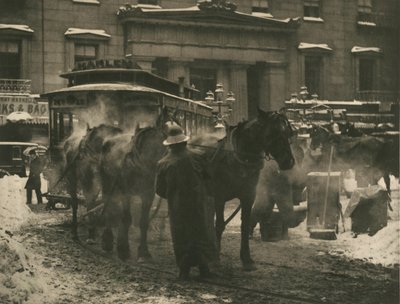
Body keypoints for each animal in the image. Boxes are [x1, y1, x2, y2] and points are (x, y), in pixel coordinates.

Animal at [189, 108, 296, 270]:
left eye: (288, 133)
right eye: (273, 133)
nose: (288, 162)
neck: (238, 159)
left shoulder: (248, 197)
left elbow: (244, 226)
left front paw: (246, 259)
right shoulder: (220, 197)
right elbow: (219, 225)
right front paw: (216, 258)